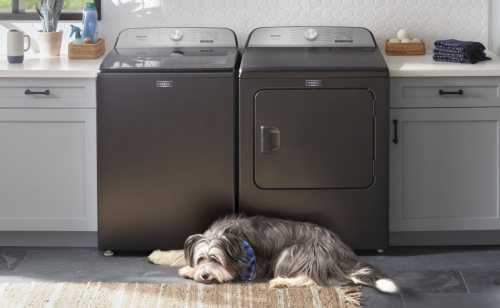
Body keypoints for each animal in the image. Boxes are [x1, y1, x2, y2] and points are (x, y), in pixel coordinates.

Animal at [148, 213, 398, 292]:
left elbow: (227, 272)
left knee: (313, 279)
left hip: (294, 252)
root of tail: (343, 251)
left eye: (215, 259)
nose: (204, 275)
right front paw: (158, 255)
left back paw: (281, 281)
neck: (229, 238)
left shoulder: (251, 265)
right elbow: (179, 252)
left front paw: (188, 271)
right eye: (201, 257)